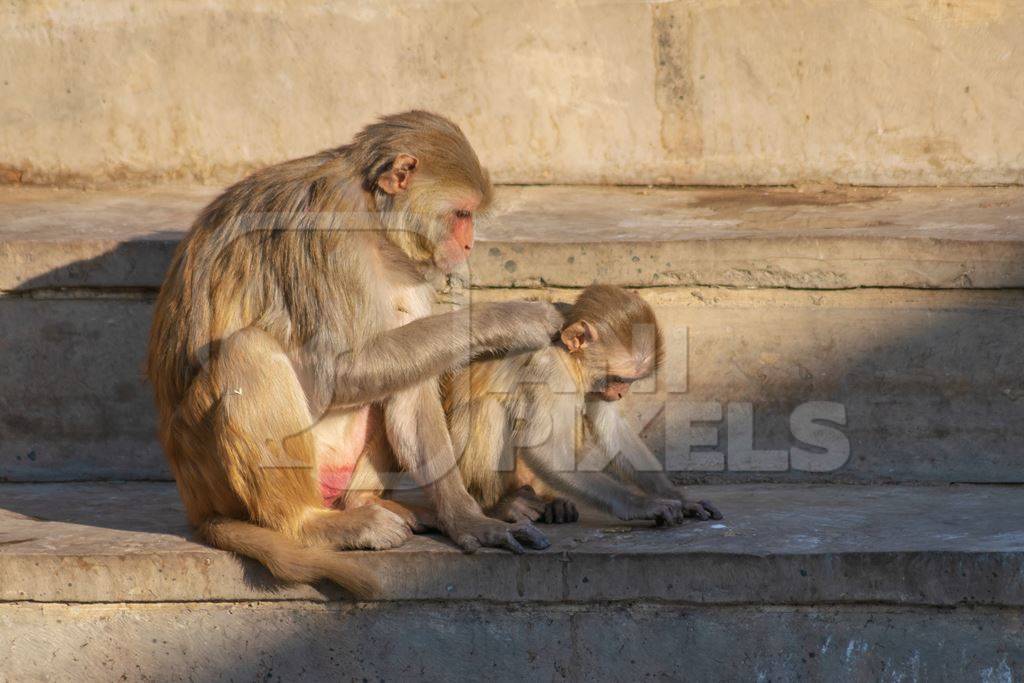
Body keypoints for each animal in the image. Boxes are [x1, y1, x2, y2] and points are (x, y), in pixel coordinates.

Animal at [148, 109, 557, 593]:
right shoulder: (330, 236)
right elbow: (337, 371)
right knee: (248, 350)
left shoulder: (409, 265)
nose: (469, 244)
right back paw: (310, 523)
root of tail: (195, 504)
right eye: (462, 214)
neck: (373, 218)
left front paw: (469, 520)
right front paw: (512, 319)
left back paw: (373, 504)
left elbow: (411, 386)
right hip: (213, 472)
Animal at [444, 286, 724, 528]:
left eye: (629, 382)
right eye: (619, 379)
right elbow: (542, 446)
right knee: (490, 407)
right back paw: (498, 506)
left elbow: (610, 428)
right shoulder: (551, 370)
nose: (620, 393)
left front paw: (680, 498)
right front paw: (639, 505)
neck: (567, 352)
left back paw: (553, 502)